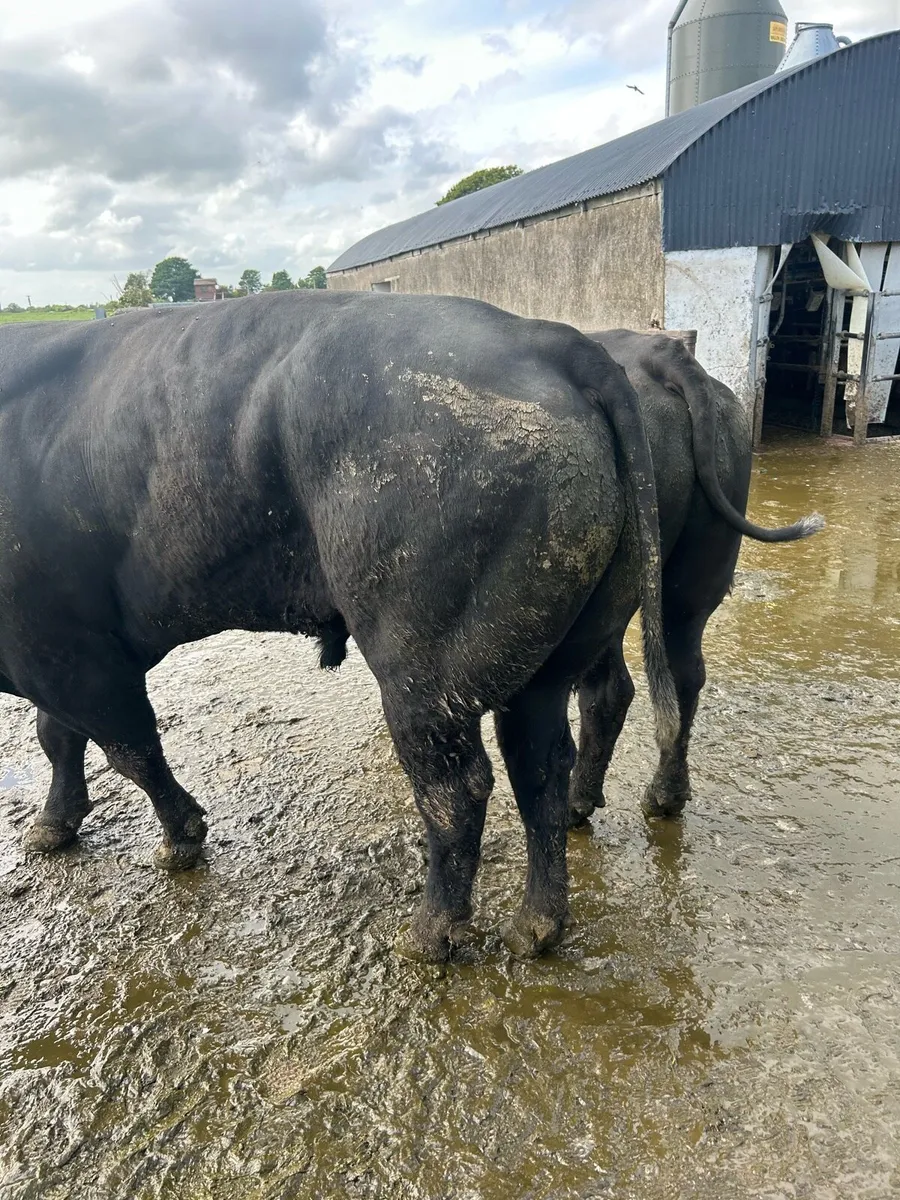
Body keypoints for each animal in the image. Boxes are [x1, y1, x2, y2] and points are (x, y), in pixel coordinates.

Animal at [566, 329, 824, 831]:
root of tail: (661, 354)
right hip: (696, 572)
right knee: (686, 673)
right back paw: (666, 796)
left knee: (607, 689)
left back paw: (574, 803)